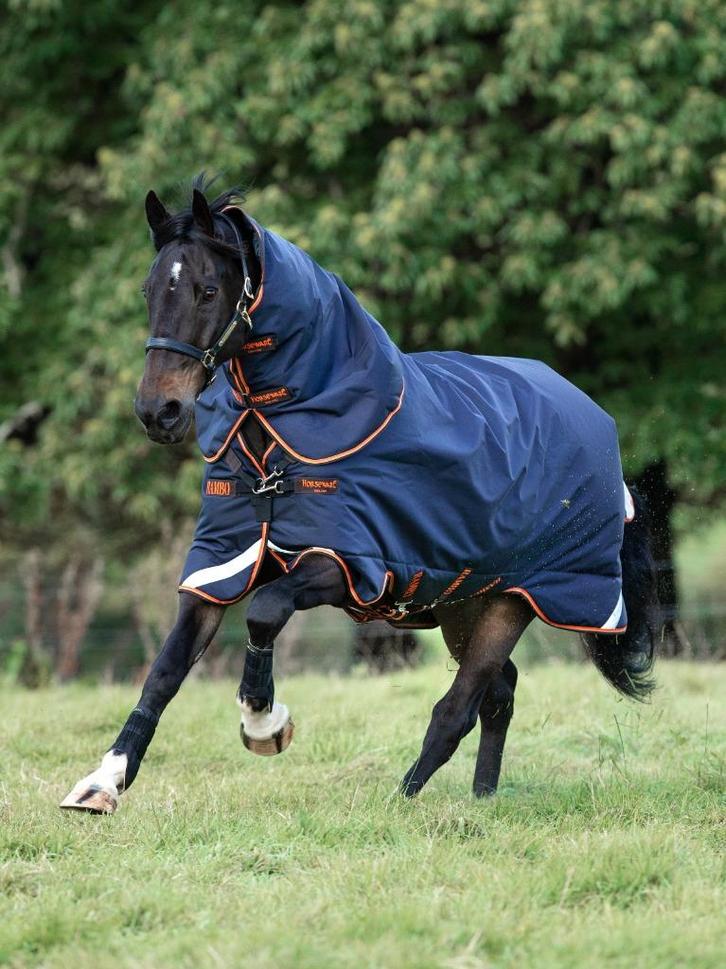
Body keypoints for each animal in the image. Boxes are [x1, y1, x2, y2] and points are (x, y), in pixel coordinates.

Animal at [61, 178, 657, 814]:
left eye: (207, 290)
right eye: (149, 290)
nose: (159, 411)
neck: (284, 438)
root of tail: (593, 418)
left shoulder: (346, 563)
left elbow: (265, 611)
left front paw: (264, 724)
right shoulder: (222, 562)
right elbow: (165, 671)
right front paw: (102, 783)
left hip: (513, 601)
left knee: (458, 708)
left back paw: (403, 803)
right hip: (462, 604)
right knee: (499, 696)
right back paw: (481, 800)